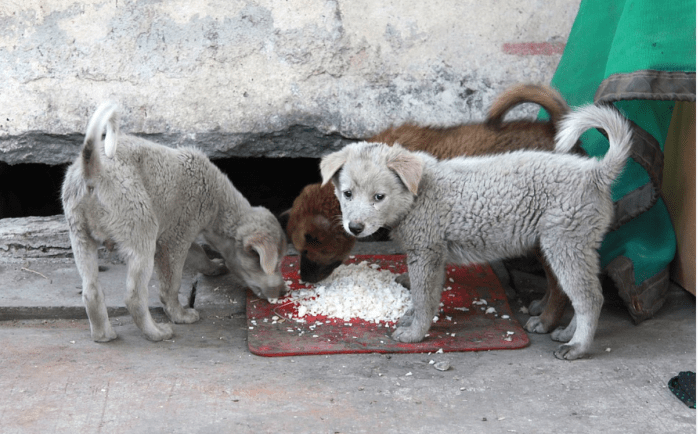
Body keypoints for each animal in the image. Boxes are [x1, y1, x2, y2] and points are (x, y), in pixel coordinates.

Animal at [62, 102, 288, 342]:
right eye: (275, 264)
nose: (285, 292)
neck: (217, 201)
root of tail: (92, 169)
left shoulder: (177, 233)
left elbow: (199, 255)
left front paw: (214, 267)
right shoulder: (175, 240)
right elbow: (172, 285)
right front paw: (180, 315)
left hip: (80, 236)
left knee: (91, 291)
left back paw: (103, 335)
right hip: (141, 231)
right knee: (134, 297)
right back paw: (157, 333)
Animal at [322, 104, 636, 360]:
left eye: (379, 197)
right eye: (347, 194)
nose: (355, 228)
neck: (418, 193)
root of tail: (595, 173)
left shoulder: (426, 253)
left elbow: (424, 299)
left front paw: (414, 334)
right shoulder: (434, 255)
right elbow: (425, 297)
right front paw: (410, 318)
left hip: (564, 244)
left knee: (588, 298)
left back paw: (577, 346)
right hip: (578, 246)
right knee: (585, 294)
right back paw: (567, 332)